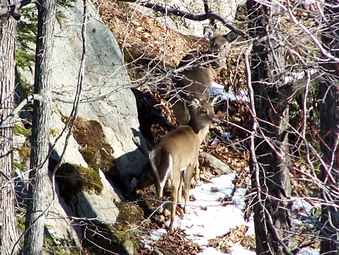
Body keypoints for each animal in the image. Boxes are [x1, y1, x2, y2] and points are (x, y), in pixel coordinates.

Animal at [150, 100, 214, 233]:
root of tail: (163, 149)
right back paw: (171, 227)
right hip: (174, 168)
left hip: (158, 168)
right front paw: (186, 208)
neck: (196, 135)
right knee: (172, 195)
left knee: (159, 186)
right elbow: (186, 186)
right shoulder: (190, 162)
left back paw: (159, 210)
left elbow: (180, 186)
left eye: (213, 109)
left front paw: (181, 202)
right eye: (204, 110)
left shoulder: (181, 167)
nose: (214, 119)